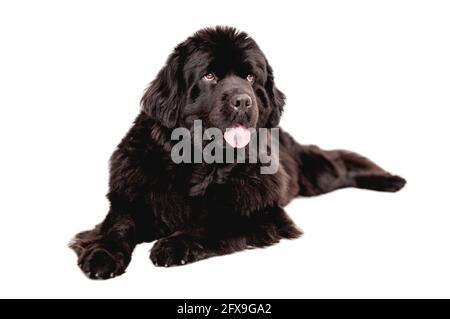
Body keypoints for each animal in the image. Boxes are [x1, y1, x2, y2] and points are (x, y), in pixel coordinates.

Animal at [70, 26, 408, 280]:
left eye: (250, 78)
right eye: (209, 76)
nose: (243, 101)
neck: (198, 163)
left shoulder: (261, 211)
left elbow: (212, 222)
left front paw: (173, 245)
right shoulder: (131, 200)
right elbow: (117, 226)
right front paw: (101, 255)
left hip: (316, 175)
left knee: (339, 161)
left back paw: (391, 180)